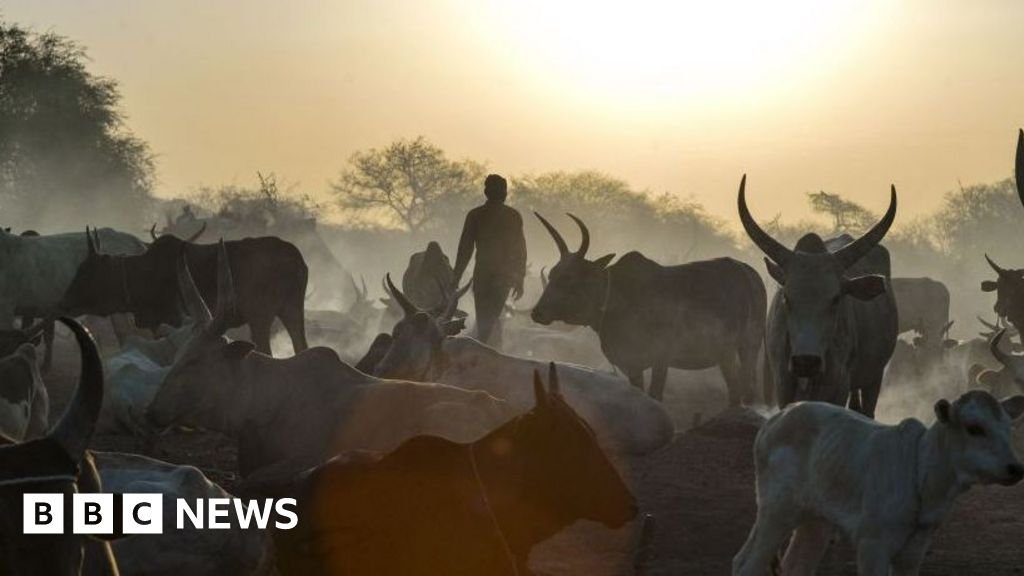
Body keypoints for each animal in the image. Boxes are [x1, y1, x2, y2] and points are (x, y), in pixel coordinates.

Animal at [61, 229, 308, 356]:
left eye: (86, 272)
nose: (65, 301)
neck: (140, 272)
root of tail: (295, 257)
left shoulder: (175, 319)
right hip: (292, 311)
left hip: (260, 318)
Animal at [530, 212, 767, 403]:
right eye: (552, 275)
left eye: (569, 278)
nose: (537, 313)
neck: (616, 296)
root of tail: (750, 274)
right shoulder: (633, 365)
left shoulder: (661, 358)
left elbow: (656, 396)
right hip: (726, 355)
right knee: (735, 391)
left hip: (749, 346)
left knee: (747, 390)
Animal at [733, 390, 1024, 575]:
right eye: (974, 428)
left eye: (1008, 428)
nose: (1015, 468)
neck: (920, 470)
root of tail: (776, 418)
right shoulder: (872, 546)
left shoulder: (914, 551)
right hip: (777, 511)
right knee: (746, 564)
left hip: (816, 520)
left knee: (797, 566)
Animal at [739, 176, 899, 417]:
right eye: (786, 297)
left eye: (836, 299)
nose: (806, 361)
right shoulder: (783, 383)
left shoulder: (838, 383)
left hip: (874, 375)